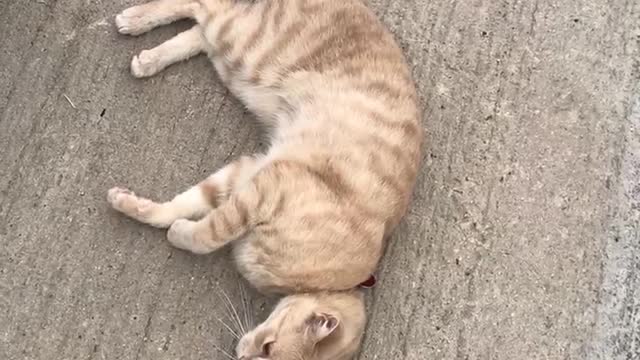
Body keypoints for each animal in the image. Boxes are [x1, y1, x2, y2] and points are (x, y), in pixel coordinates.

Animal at [107, 0, 422, 358]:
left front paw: (137, 208)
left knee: (198, 32)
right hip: (244, 43)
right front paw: (180, 233)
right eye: (269, 347)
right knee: (199, 7)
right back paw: (136, 19)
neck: (332, 280)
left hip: (233, 58)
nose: (242, 354)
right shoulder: (269, 185)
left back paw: (150, 58)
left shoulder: (247, 173)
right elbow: (207, 235)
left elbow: (182, 207)